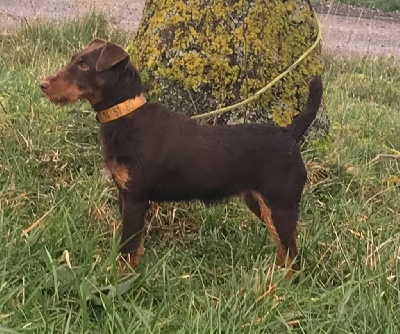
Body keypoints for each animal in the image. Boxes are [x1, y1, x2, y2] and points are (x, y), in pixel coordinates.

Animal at [39, 37, 322, 276]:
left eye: (84, 65)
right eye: (74, 59)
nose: (43, 85)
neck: (127, 115)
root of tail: (289, 134)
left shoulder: (135, 199)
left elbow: (127, 247)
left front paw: (119, 279)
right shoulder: (125, 196)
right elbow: (134, 245)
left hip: (281, 206)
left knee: (293, 256)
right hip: (260, 203)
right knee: (284, 251)